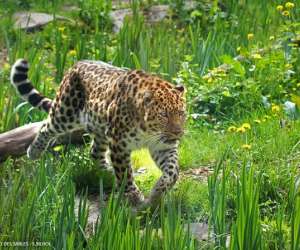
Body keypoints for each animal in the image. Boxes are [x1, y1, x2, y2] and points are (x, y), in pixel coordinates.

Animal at [10, 59, 186, 209]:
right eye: (163, 115)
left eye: (181, 113)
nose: (178, 132)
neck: (149, 131)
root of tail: (75, 64)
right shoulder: (119, 143)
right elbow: (125, 174)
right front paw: (134, 197)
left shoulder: (163, 146)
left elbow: (173, 171)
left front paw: (156, 194)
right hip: (65, 113)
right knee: (45, 127)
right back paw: (34, 151)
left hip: (100, 129)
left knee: (94, 152)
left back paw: (108, 172)